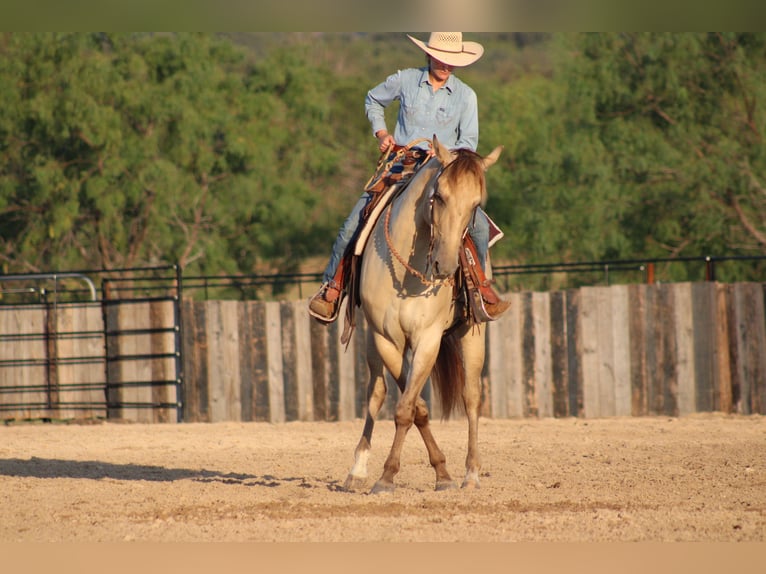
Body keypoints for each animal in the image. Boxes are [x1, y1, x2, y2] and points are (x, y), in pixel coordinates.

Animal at [343, 136, 502, 493]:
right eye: (438, 195)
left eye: (475, 205)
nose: (446, 265)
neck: (409, 274)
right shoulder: (386, 339)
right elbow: (413, 406)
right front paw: (431, 472)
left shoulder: (428, 339)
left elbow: (408, 407)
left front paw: (394, 475)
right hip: (372, 344)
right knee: (376, 393)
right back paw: (357, 469)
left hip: (471, 334)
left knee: (472, 398)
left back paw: (471, 473)